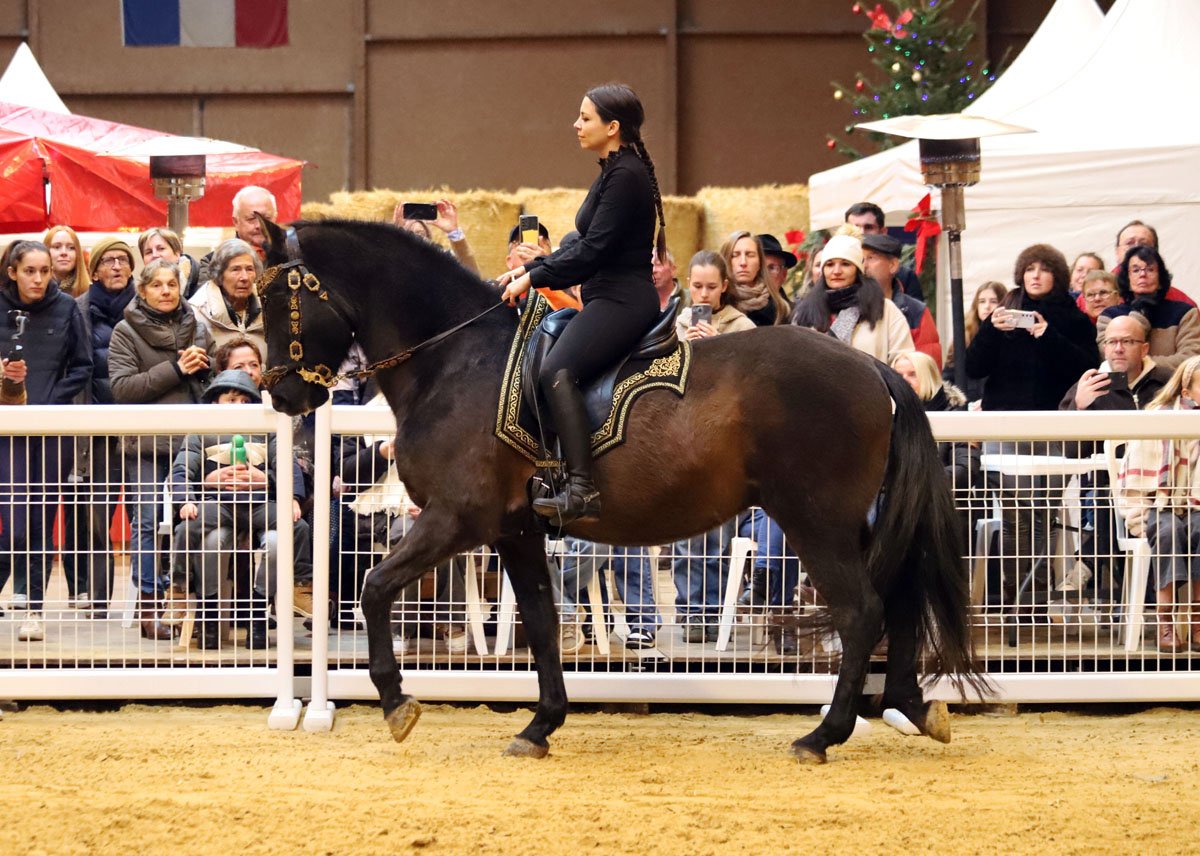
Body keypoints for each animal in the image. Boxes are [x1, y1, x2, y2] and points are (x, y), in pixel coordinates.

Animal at [255, 216, 984, 763]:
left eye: (274, 301)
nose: (282, 396)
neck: (455, 361)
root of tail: (870, 367)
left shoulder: (457, 518)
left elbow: (375, 586)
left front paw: (397, 703)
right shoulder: (515, 530)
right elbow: (541, 623)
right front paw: (541, 725)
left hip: (814, 521)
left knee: (862, 610)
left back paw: (823, 734)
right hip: (854, 521)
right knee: (899, 598)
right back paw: (912, 707)